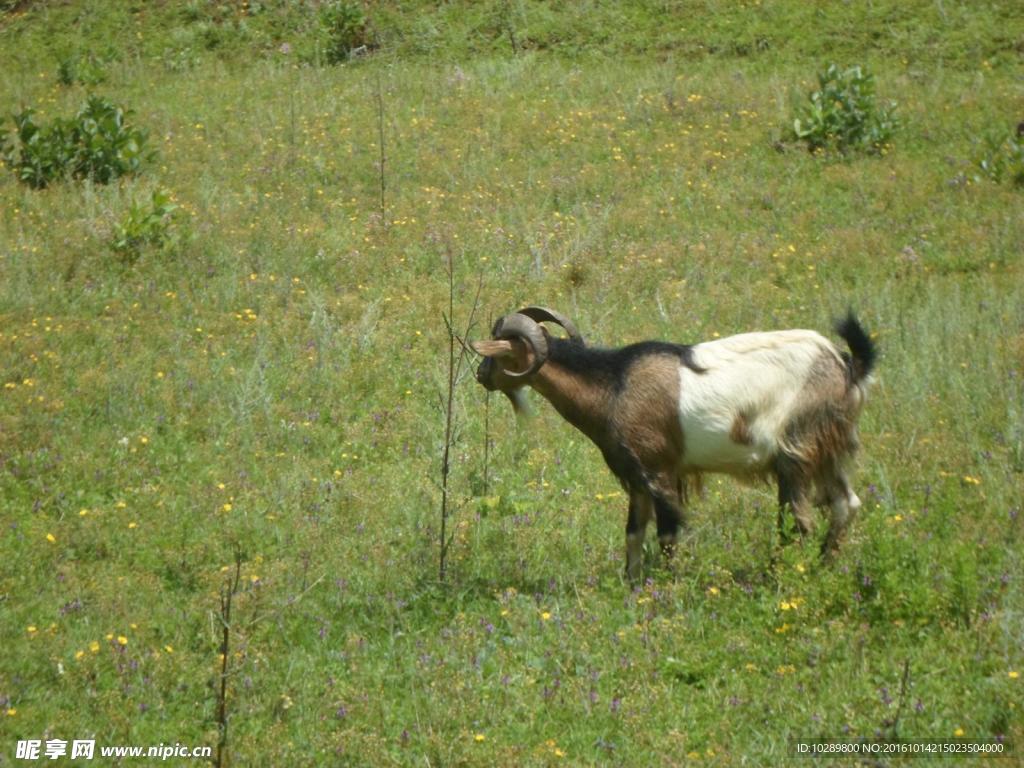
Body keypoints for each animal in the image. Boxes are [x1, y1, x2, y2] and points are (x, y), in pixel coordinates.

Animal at [468, 303, 876, 581]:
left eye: (499, 353)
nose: (480, 375)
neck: (614, 385)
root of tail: (847, 367)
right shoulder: (636, 477)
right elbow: (633, 533)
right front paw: (631, 585)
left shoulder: (658, 470)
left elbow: (667, 534)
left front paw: (665, 588)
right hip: (829, 452)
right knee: (846, 504)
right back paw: (822, 569)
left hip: (796, 452)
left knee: (798, 521)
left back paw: (776, 578)